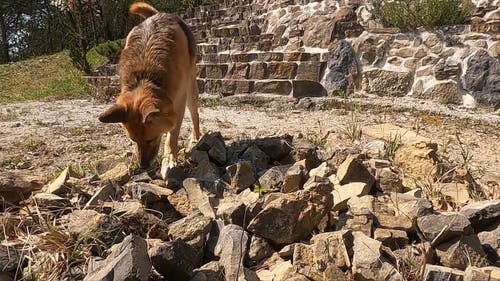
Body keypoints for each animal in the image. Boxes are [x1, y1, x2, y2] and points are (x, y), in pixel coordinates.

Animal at [98, 2, 200, 177]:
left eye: (150, 140)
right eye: (133, 140)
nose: (143, 167)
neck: (146, 78)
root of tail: (157, 14)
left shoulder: (178, 103)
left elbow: (172, 135)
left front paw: (169, 159)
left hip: (191, 88)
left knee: (195, 114)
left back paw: (196, 138)